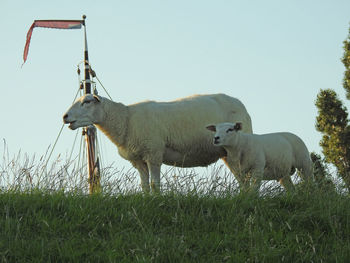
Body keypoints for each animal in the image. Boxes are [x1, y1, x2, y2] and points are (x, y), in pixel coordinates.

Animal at [63, 94, 253, 193]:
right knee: (242, 179)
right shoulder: (138, 160)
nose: (65, 116)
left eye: (87, 101)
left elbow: (155, 184)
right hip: (227, 153)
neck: (125, 120)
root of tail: (241, 105)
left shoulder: (153, 153)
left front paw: (157, 199)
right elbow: (145, 185)